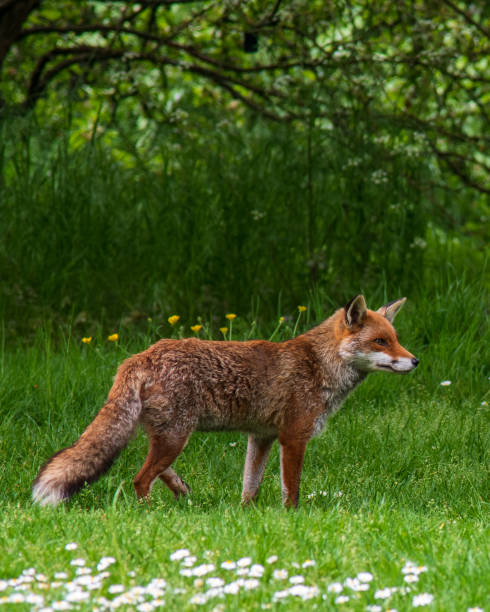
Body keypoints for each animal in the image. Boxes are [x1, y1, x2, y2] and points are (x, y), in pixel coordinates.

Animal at [33, 296, 418, 506]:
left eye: (396, 338)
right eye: (381, 341)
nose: (415, 361)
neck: (318, 365)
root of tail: (142, 355)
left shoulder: (260, 437)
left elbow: (250, 486)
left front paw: (247, 515)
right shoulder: (293, 437)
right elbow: (290, 489)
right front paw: (292, 517)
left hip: (163, 434)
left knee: (148, 466)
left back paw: (181, 490)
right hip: (176, 436)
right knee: (140, 479)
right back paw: (149, 512)